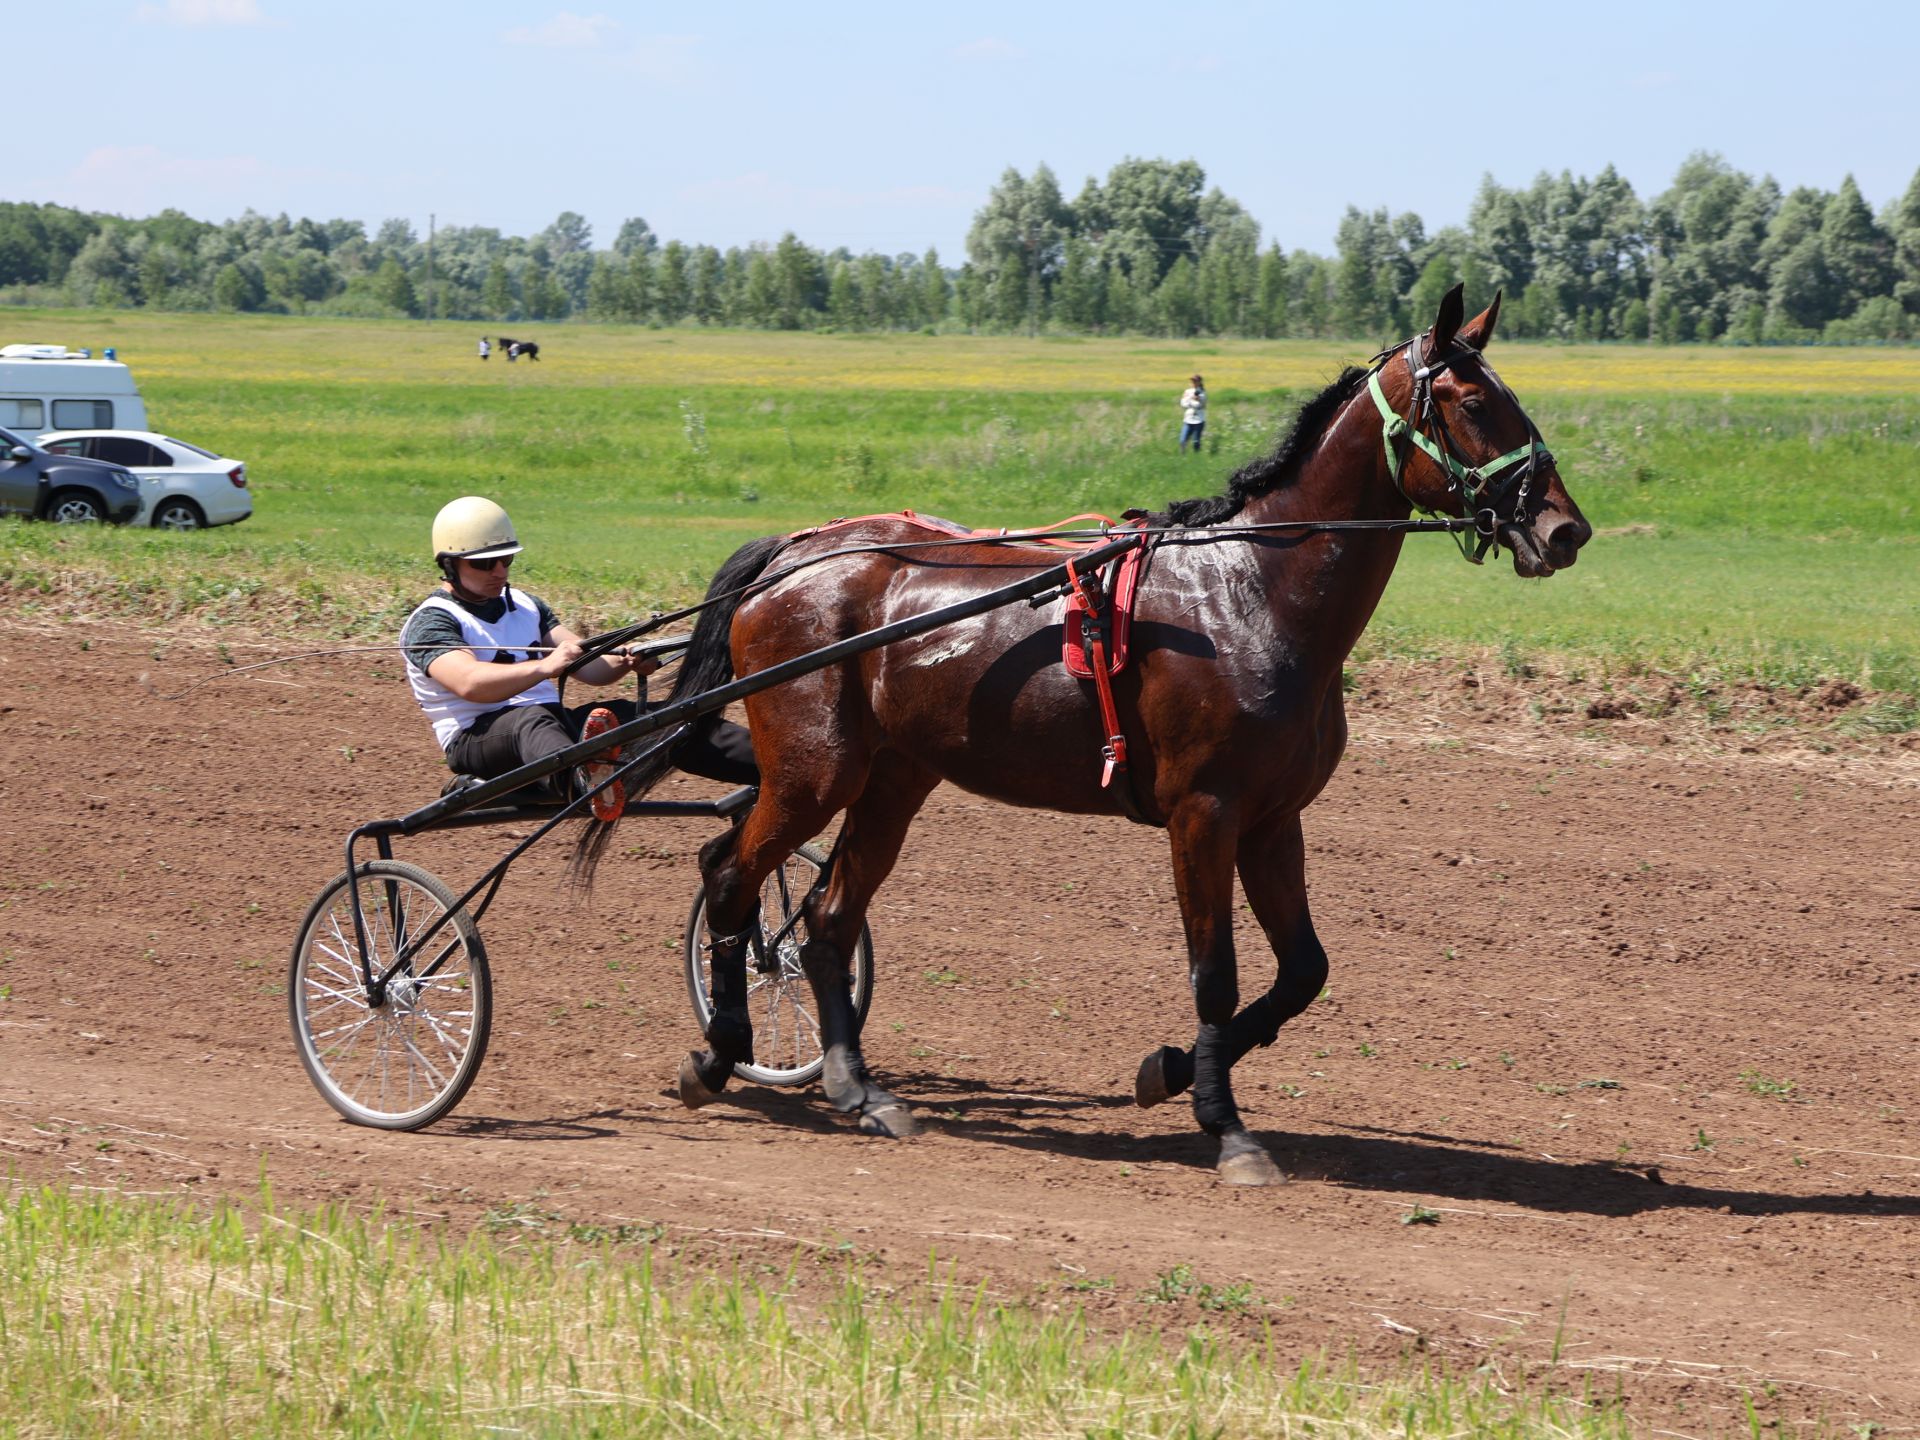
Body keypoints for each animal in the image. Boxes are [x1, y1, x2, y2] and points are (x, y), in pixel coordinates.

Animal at [579, 288, 1589, 1190]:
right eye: (1471, 402)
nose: (1564, 528)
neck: (1253, 593)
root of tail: (795, 555)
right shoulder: (1203, 814)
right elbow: (1216, 974)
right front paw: (1227, 1131)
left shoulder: (1272, 819)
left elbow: (1303, 971)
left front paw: (1170, 1071)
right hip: (811, 770)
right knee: (730, 878)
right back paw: (719, 1057)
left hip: (893, 779)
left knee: (825, 920)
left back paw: (858, 1088)